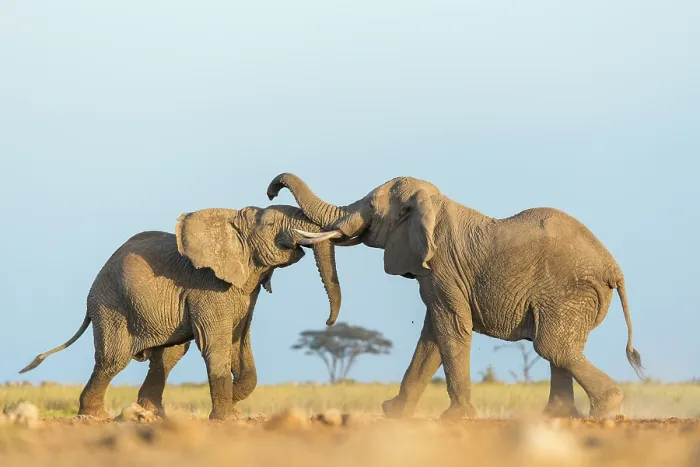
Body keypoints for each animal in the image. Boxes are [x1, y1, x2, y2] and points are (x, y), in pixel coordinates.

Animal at [20, 205, 342, 420]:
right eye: (272, 222)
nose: (328, 322)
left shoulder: (245, 294)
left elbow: (239, 344)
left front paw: (231, 409)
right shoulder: (208, 288)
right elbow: (216, 346)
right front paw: (225, 418)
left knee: (169, 356)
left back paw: (149, 414)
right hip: (110, 305)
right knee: (113, 359)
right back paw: (95, 417)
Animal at [267, 173, 644, 420]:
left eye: (370, 206)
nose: (270, 193)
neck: (433, 203)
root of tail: (615, 270)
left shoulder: (443, 268)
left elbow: (450, 328)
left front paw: (456, 418)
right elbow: (432, 336)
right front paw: (394, 413)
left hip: (568, 291)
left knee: (552, 347)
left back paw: (607, 411)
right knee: (560, 349)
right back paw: (557, 417)